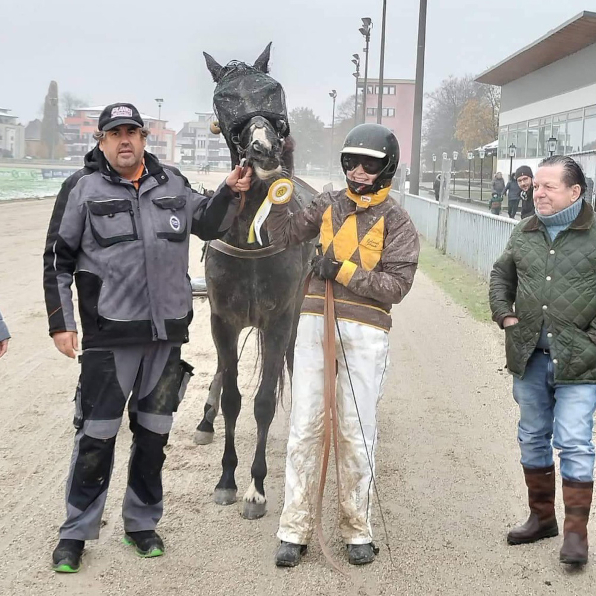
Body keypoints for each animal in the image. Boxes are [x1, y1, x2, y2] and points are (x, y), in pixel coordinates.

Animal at [194, 44, 316, 520]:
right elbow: (232, 398)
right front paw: (227, 479)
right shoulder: (222, 319)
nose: (264, 149)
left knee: (290, 362)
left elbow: (264, 400)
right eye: (224, 98)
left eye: (272, 89)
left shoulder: (280, 317)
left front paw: (256, 488)